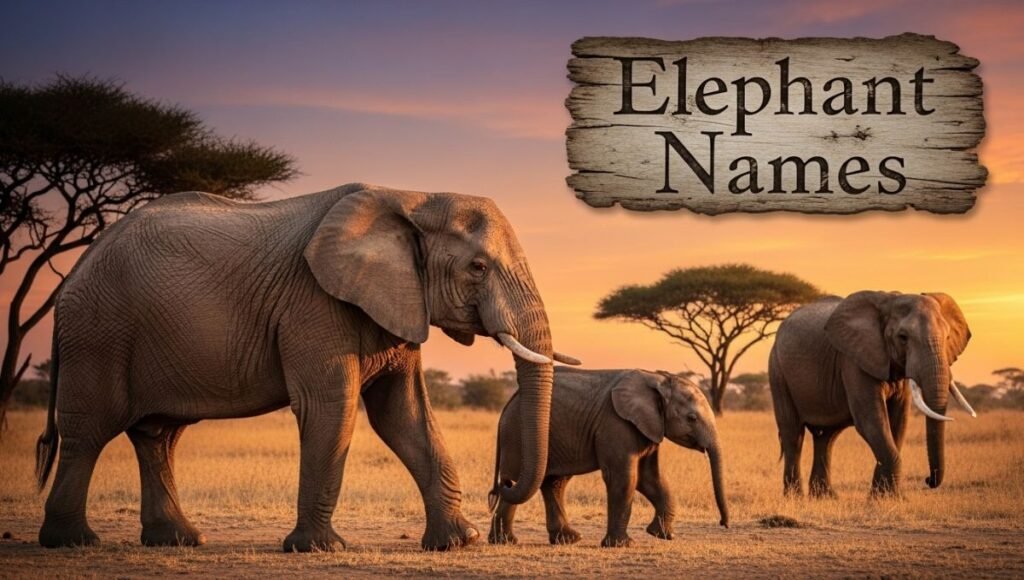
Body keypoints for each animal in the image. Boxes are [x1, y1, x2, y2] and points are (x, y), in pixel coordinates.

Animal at [33, 183, 580, 551]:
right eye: (478, 268)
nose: (502, 484)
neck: (412, 196)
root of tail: (75, 269)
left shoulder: (397, 299)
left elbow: (404, 415)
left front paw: (458, 542)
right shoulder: (313, 302)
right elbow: (330, 407)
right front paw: (318, 548)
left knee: (158, 435)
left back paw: (179, 540)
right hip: (99, 331)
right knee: (90, 431)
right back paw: (73, 542)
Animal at [487, 368, 728, 548]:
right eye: (692, 418)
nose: (723, 523)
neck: (658, 378)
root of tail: (509, 402)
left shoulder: (649, 427)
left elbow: (649, 479)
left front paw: (662, 535)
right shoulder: (616, 423)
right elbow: (624, 478)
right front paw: (623, 545)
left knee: (554, 482)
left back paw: (566, 540)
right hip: (517, 434)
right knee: (517, 481)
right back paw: (506, 541)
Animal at [768, 291, 975, 498]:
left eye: (947, 337)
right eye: (903, 337)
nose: (928, 480)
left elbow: (898, 422)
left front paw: (885, 497)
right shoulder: (853, 360)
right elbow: (872, 421)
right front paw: (885, 498)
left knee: (827, 437)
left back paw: (825, 497)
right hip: (777, 370)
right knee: (793, 434)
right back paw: (795, 498)